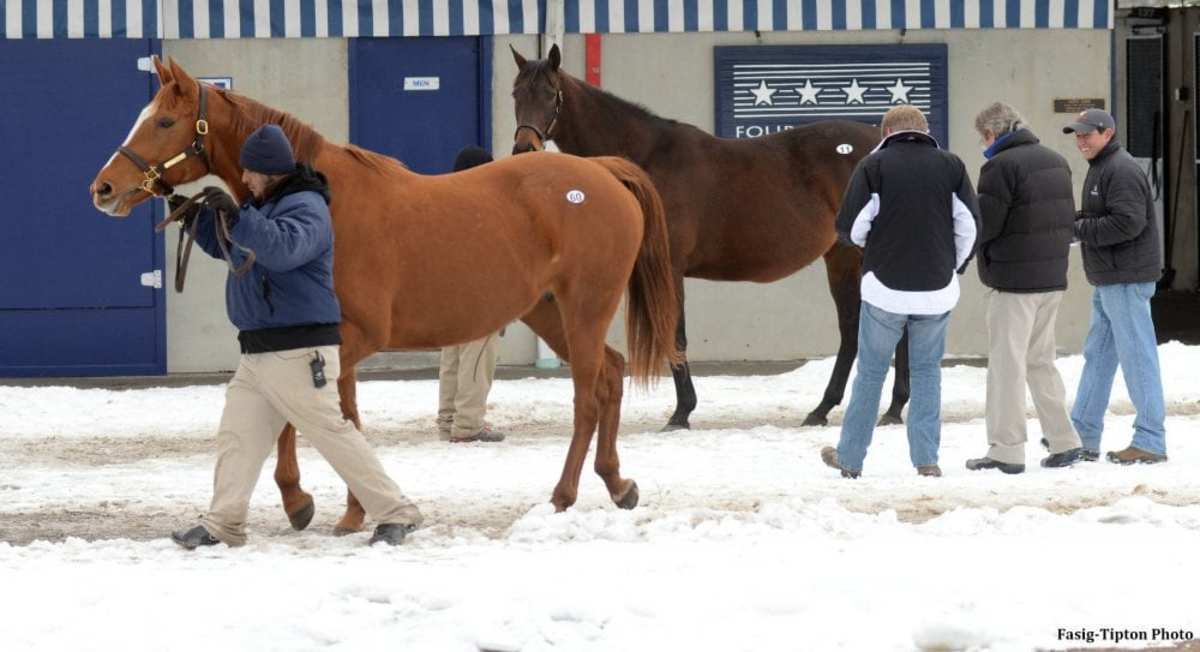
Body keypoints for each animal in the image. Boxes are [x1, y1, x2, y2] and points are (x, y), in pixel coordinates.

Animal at [90, 57, 680, 530]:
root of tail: (602, 172)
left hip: (585, 310)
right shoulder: (331, 343)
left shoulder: (353, 338)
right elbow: (344, 418)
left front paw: (300, 500)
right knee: (610, 375)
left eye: (165, 121)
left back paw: (562, 496)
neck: (325, 198)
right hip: (551, 313)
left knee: (588, 396)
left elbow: (311, 415)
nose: (104, 188)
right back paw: (617, 484)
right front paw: (351, 511)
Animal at [511, 45, 912, 431]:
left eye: (550, 93)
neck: (646, 159)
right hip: (845, 257)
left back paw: (865, 408)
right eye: (516, 93)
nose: (523, 149)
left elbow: (676, 335)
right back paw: (854, 408)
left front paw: (681, 413)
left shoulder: (669, 267)